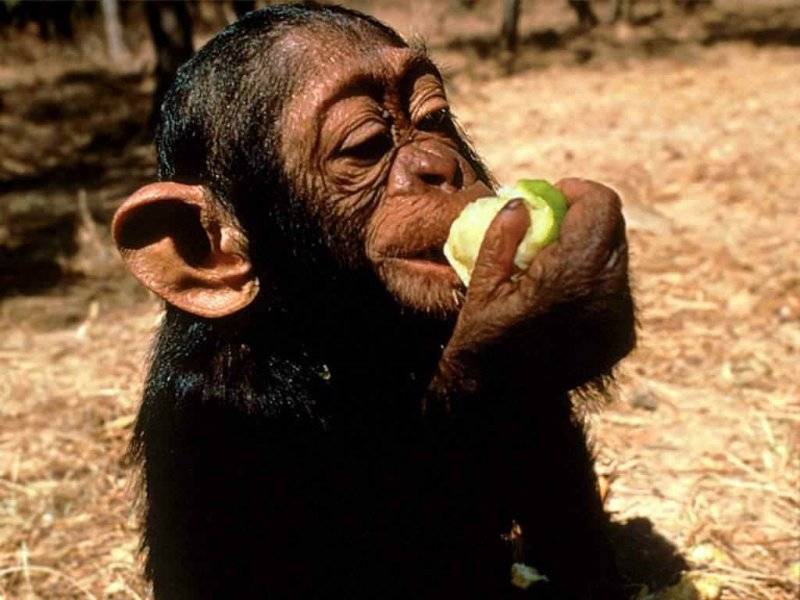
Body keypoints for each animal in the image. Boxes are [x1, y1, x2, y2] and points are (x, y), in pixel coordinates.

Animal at [112, 2, 636, 596]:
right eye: (366, 147)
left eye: (433, 118)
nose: (440, 167)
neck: (320, 339)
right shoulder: (226, 411)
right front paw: (536, 326)